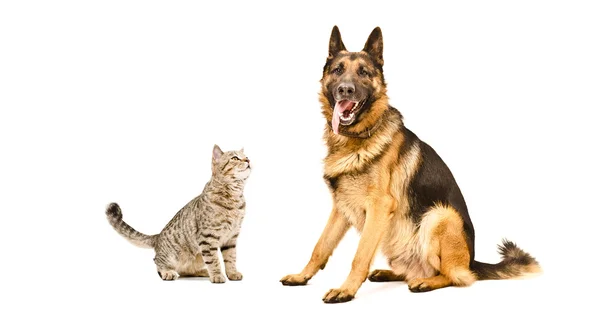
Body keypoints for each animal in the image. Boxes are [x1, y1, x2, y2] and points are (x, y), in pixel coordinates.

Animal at [105, 144, 251, 284]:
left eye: (246, 156)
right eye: (235, 158)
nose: (248, 160)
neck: (234, 196)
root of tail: (158, 236)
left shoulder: (231, 238)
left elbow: (231, 258)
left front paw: (232, 273)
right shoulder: (207, 238)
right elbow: (214, 260)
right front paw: (217, 275)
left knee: (186, 270)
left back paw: (203, 271)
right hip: (173, 255)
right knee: (158, 262)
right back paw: (168, 272)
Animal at [278, 26, 540, 304]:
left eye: (364, 72)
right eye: (338, 70)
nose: (345, 90)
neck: (357, 139)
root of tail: (471, 260)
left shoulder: (379, 207)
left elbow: (360, 256)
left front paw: (346, 290)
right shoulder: (341, 207)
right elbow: (320, 246)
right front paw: (301, 276)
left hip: (440, 215)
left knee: (456, 276)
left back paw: (426, 282)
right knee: (415, 270)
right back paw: (389, 273)